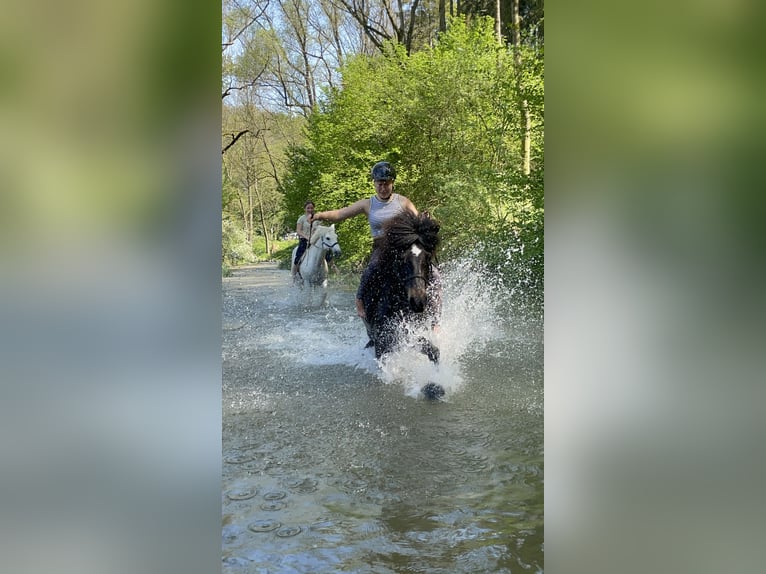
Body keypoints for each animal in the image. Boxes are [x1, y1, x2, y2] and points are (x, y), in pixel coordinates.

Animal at [360, 213, 444, 400]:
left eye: (426, 258)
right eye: (401, 259)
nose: (418, 301)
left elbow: (433, 351)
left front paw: (437, 384)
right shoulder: (387, 336)